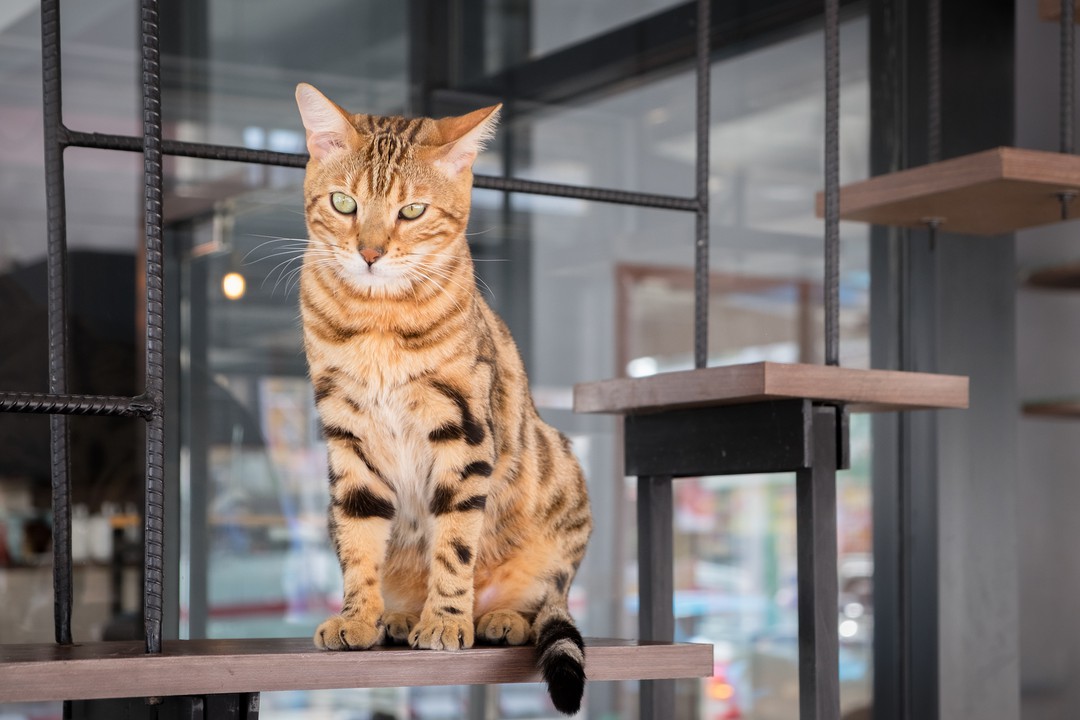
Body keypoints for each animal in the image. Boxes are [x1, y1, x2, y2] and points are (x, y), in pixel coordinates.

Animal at [295, 84, 596, 716]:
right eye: (343, 203)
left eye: (412, 211)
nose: (370, 252)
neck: (378, 320)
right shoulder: (347, 433)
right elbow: (359, 539)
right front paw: (359, 616)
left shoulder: (462, 428)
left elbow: (456, 541)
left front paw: (447, 620)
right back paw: (400, 616)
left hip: (560, 483)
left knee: (545, 600)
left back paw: (494, 617)